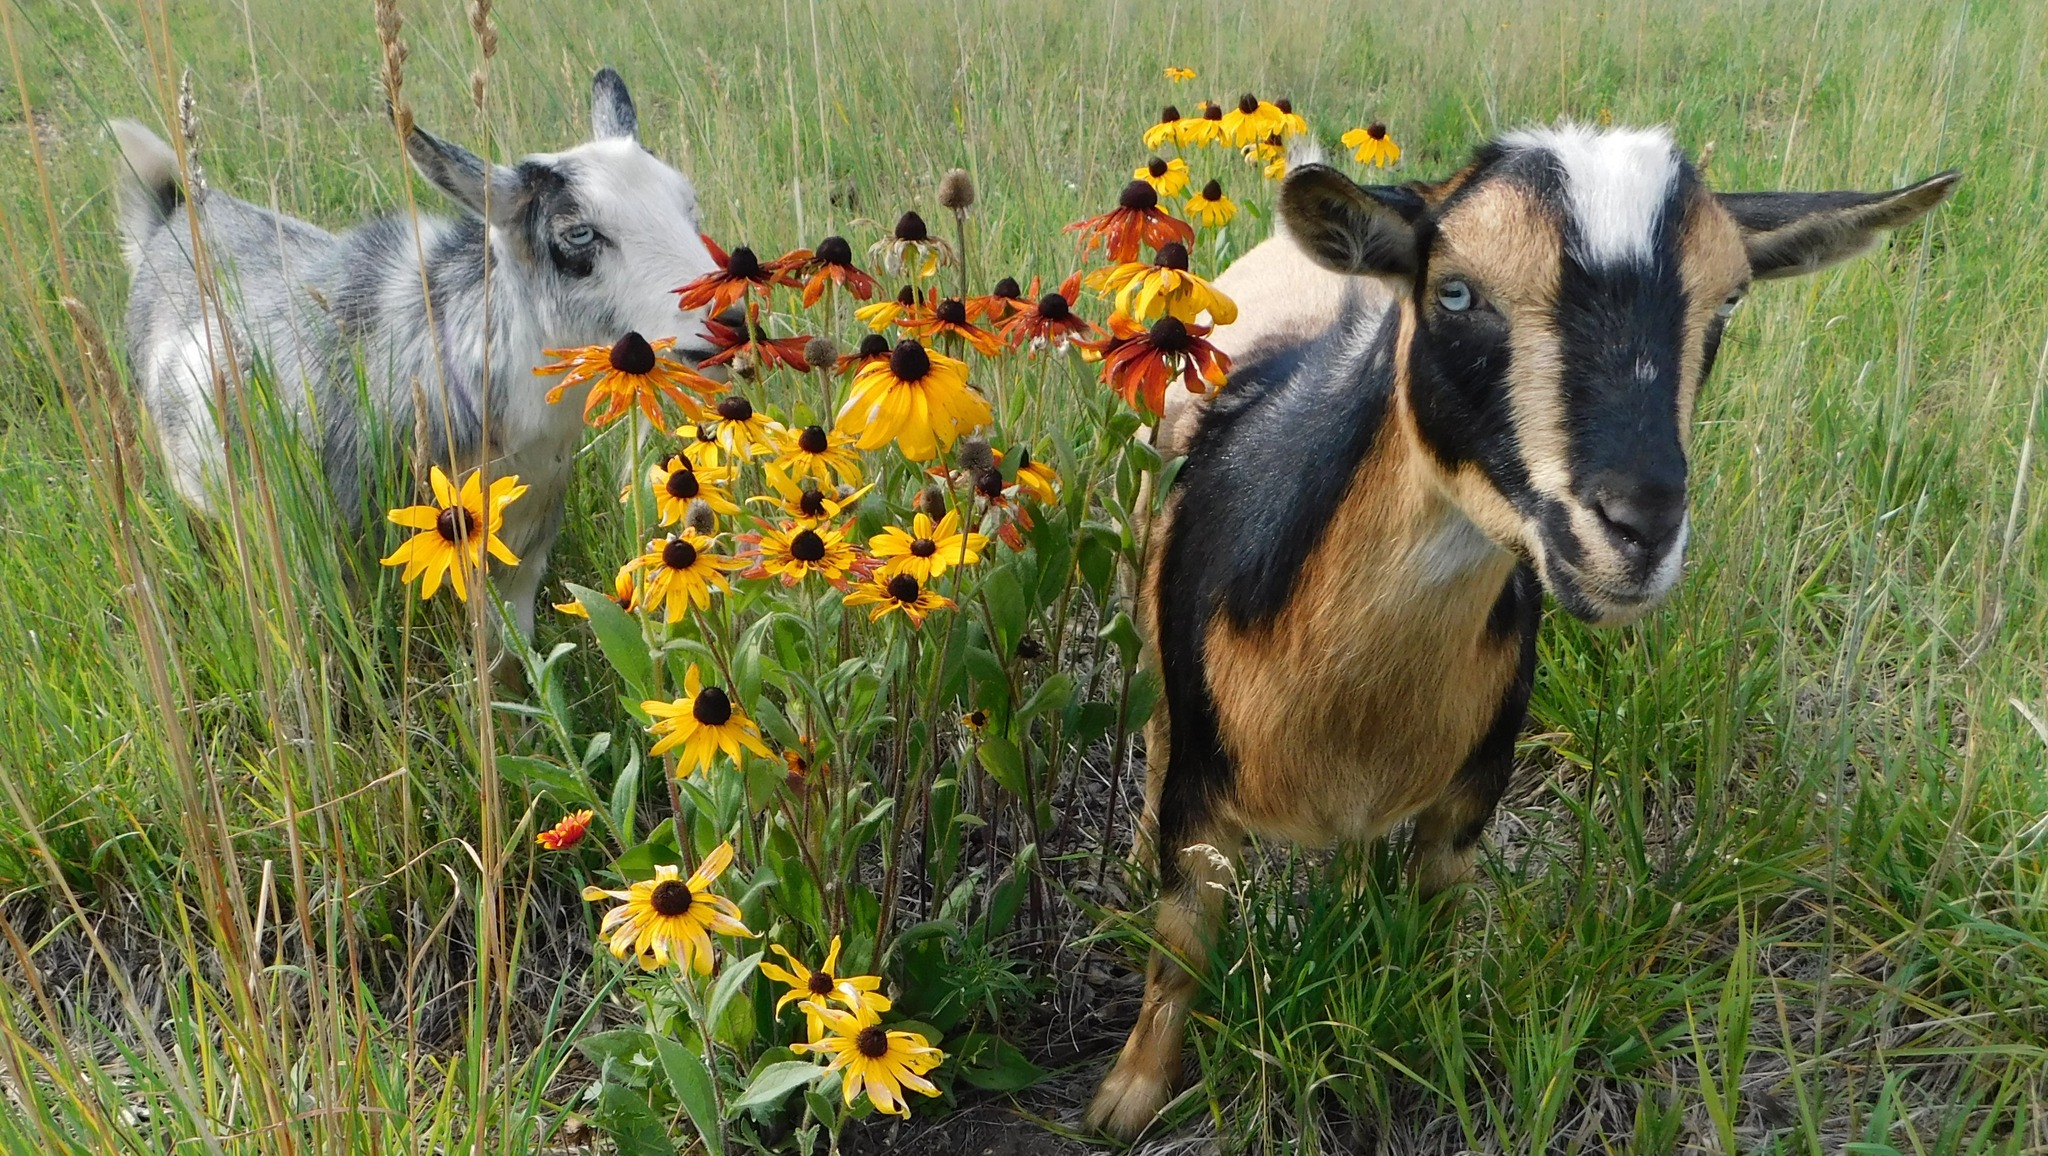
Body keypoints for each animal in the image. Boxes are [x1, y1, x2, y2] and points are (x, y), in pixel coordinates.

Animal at [113, 69, 721, 634]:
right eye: (578, 235)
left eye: (689, 206)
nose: (727, 320)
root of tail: (172, 212)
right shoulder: (329, 571)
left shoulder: (517, 565)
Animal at [1087, 124, 1959, 1140]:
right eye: (1457, 292)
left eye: (1730, 300)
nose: (1638, 527)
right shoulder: (1202, 785)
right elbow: (1182, 937)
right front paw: (1125, 1101)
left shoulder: (1471, 792)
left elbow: (1428, 927)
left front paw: (1426, 1051)